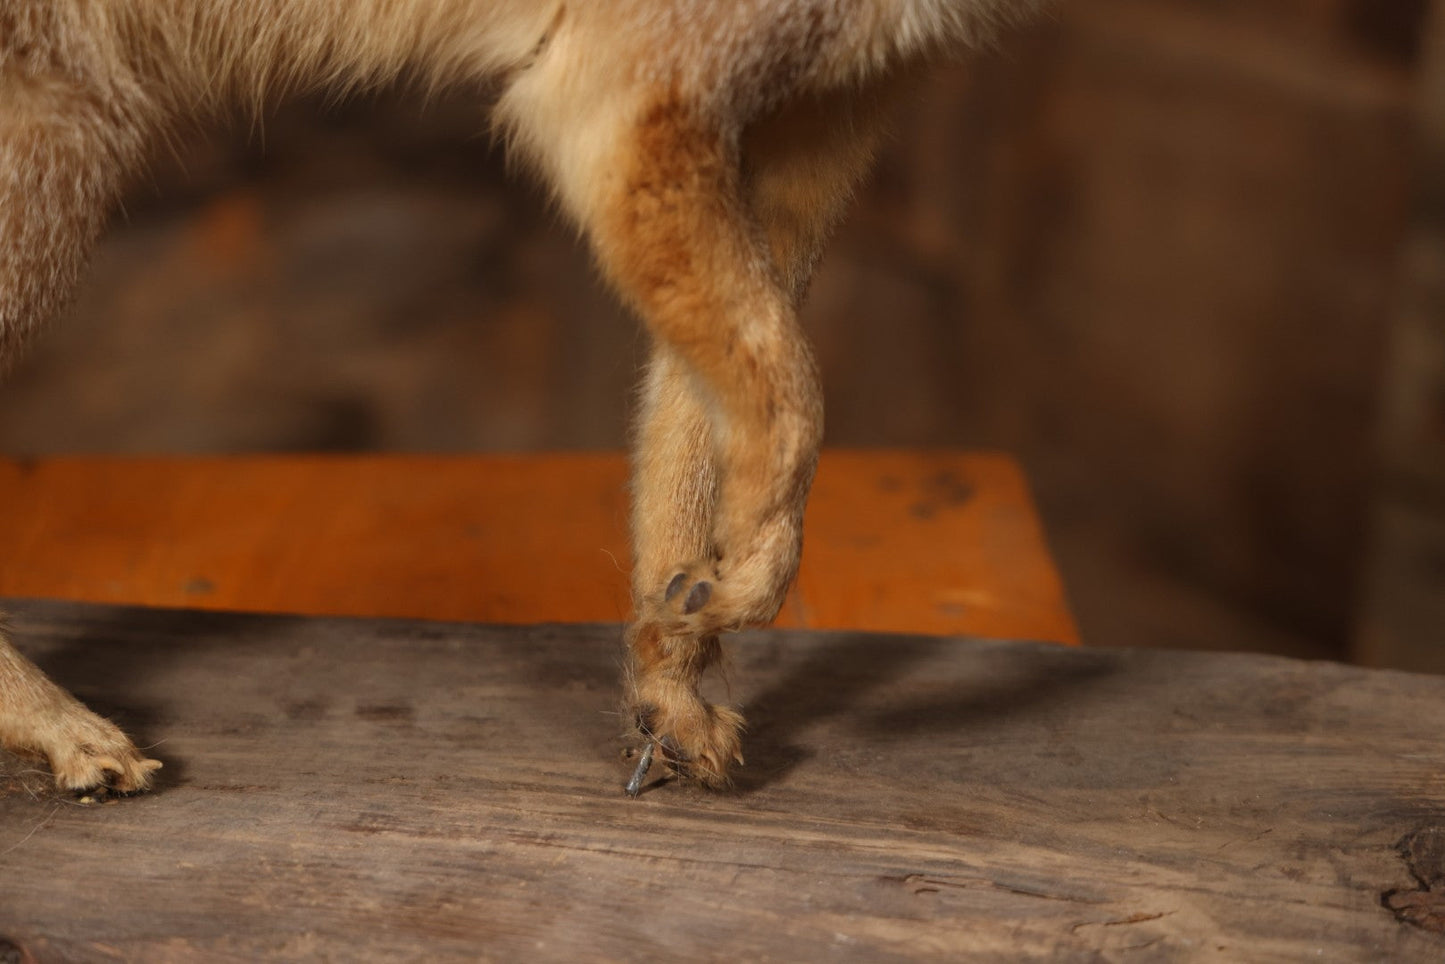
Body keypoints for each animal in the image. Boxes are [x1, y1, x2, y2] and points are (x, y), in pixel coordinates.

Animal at [0, 0, 1042, 796]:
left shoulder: (808, 121)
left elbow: (703, 447)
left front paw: (676, 675)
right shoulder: (616, 99)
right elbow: (795, 406)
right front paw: (755, 573)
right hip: (54, 172)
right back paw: (61, 726)